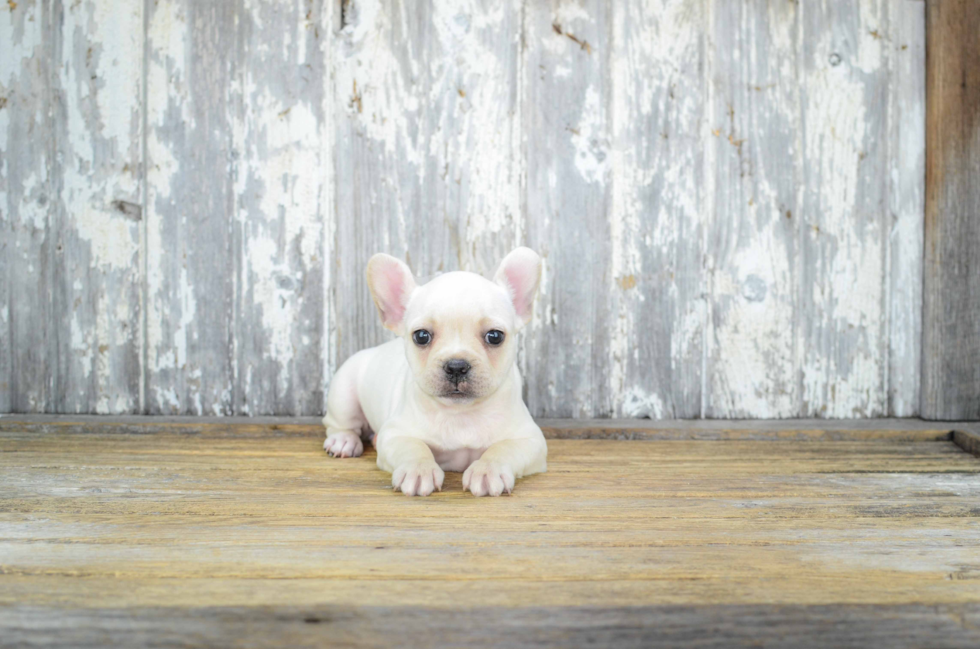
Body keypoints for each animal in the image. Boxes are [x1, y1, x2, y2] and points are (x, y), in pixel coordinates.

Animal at [324, 248, 548, 496]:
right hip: (343, 392)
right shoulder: (395, 434)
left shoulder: (530, 439)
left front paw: (488, 470)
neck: (461, 414)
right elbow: (413, 446)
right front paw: (418, 469)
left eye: (495, 336)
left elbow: (503, 448)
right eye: (421, 336)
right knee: (340, 424)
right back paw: (343, 441)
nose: (456, 365)